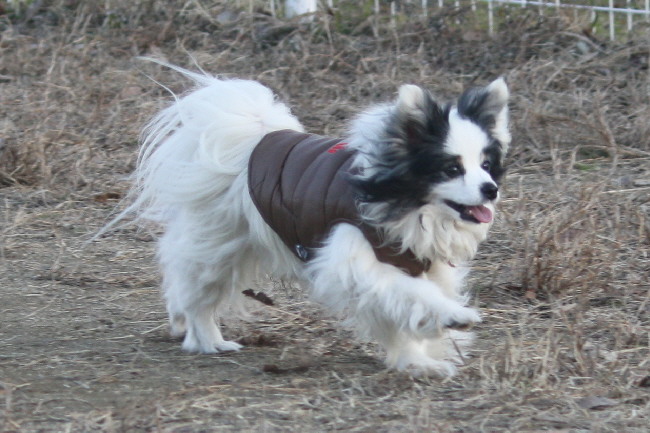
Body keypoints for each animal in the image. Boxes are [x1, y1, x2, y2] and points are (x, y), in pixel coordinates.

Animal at [120, 62, 510, 377]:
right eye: (452, 169)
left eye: (486, 165)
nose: (490, 189)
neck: (408, 205)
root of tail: (249, 139)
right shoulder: (355, 260)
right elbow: (410, 293)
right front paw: (452, 316)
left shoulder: (421, 263)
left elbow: (402, 311)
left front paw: (415, 360)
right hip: (218, 245)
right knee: (194, 287)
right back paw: (207, 339)